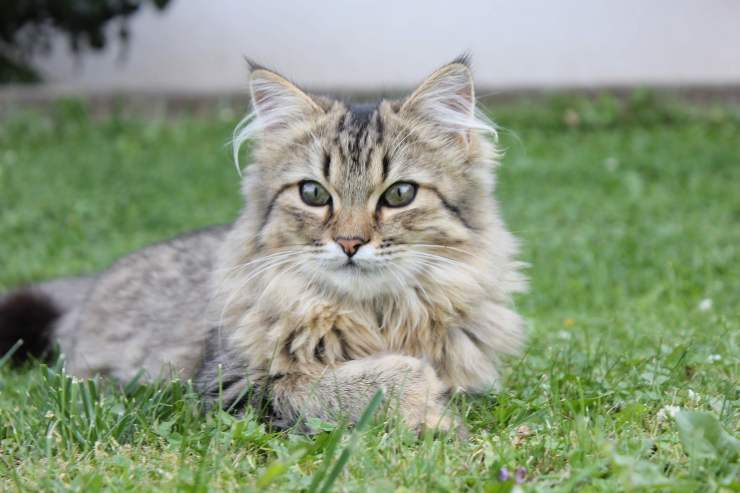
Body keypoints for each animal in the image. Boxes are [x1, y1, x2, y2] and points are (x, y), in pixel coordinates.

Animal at [0, 57, 528, 432]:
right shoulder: (225, 386)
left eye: (399, 194)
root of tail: (92, 283)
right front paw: (423, 399)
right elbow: (327, 386)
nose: (350, 243)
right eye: (313, 193)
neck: (373, 318)